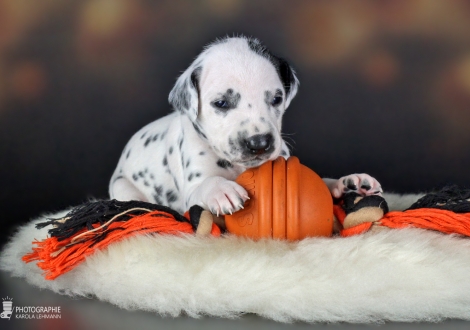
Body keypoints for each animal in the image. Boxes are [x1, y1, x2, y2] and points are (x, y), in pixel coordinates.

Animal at [109, 36, 382, 215]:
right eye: (221, 103)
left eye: (276, 99)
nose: (259, 143)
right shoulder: (192, 190)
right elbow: (205, 184)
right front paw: (221, 190)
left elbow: (319, 180)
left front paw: (348, 182)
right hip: (123, 188)